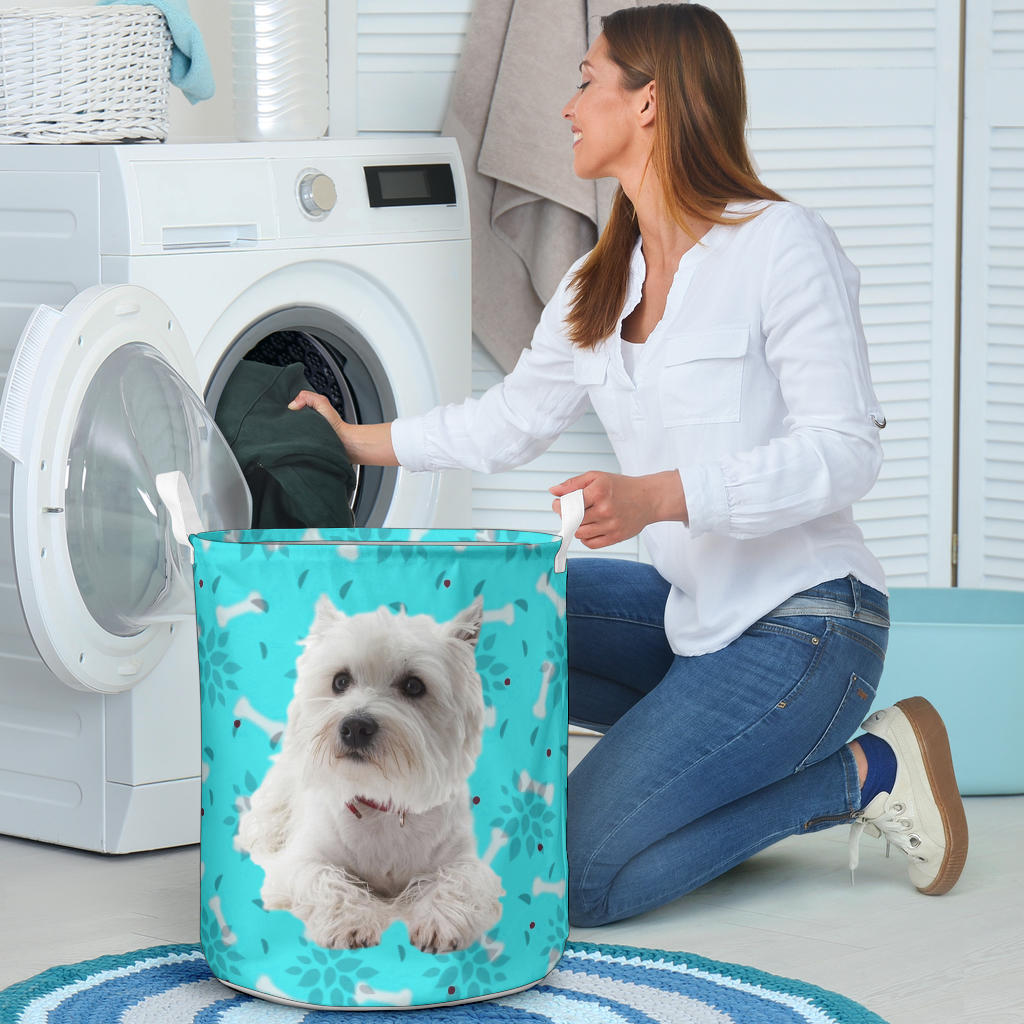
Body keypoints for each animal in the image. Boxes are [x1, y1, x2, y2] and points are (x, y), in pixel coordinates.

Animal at [233, 593, 503, 950]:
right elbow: (325, 879)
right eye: (340, 681)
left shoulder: (463, 860)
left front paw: (438, 923)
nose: (355, 727)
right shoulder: (302, 860)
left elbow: (459, 881)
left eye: (414, 685)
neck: (380, 801)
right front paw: (352, 923)